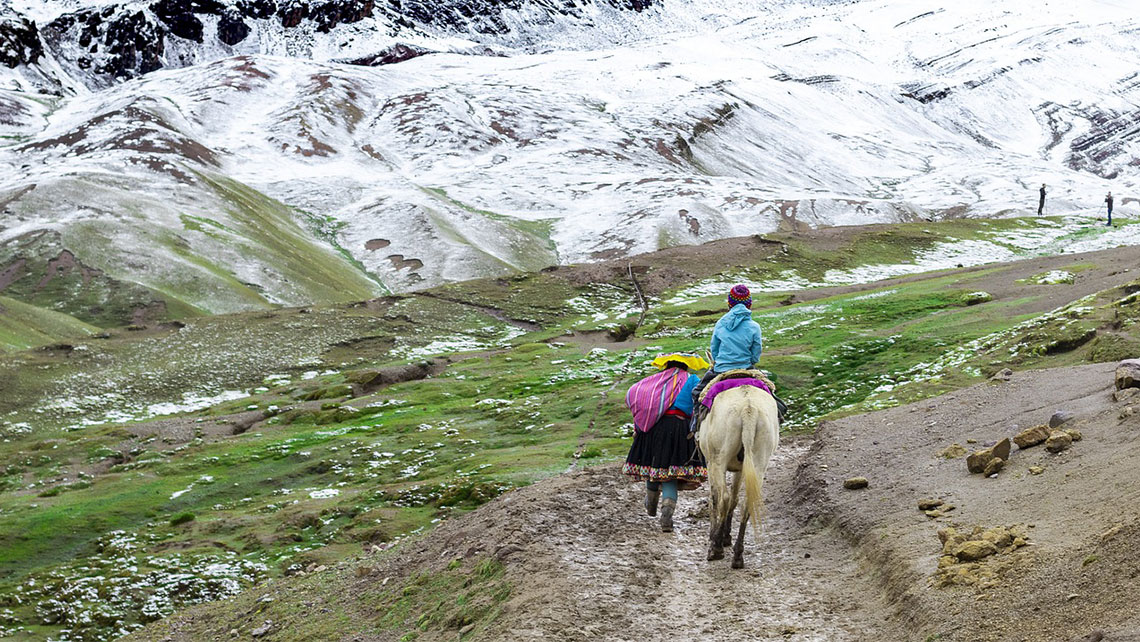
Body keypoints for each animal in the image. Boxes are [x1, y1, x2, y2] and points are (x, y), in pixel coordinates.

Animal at [697, 385, 779, 570]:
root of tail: (749, 410)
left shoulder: (710, 464)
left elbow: (715, 499)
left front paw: (716, 536)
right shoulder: (741, 469)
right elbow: (735, 500)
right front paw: (727, 536)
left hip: (719, 460)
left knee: (724, 499)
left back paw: (716, 548)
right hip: (758, 462)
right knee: (747, 502)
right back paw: (737, 555)